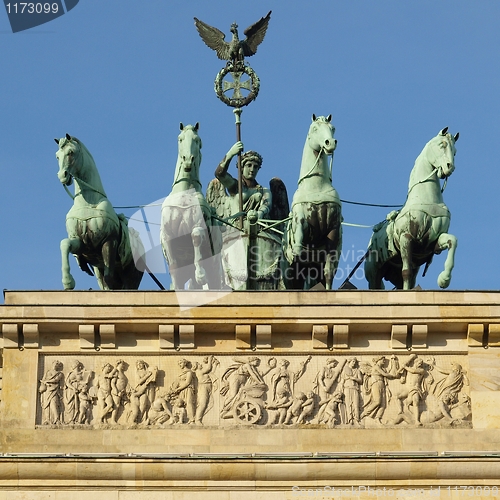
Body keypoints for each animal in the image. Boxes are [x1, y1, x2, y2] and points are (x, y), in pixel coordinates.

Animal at [56, 134, 144, 290]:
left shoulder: (109, 241)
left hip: (132, 274)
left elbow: (109, 278)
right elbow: (65, 243)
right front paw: (68, 282)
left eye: (71, 152)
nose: (62, 175)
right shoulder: (82, 243)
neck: (88, 203)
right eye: (57, 156)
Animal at [160, 123, 223, 292]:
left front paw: (200, 274)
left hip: (215, 268)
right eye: (180, 139)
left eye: (197, 140)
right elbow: (174, 268)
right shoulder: (167, 235)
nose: (188, 160)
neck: (184, 192)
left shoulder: (198, 224)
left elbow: (195, 237)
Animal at [284, 114, 342, 290]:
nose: (330, 143)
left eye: (333, 128)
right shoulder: (302, 221)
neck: (316, 187)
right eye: (315, 129)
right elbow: (299, 244)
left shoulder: (333, 230)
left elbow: (328, 271)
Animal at [366, 127, 458, 290]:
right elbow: (406, 272)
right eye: (442, 144)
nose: (450, 167)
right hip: (373, 272)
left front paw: (444, 279)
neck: (426, 198)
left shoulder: (433, 242)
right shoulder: (406, 238)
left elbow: (453, 240)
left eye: (455, 152)